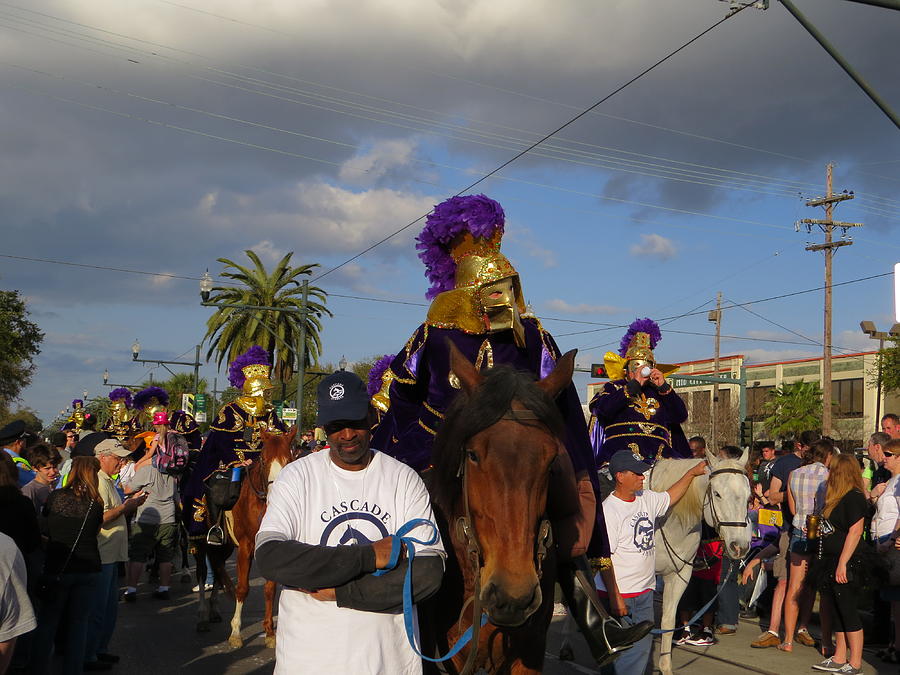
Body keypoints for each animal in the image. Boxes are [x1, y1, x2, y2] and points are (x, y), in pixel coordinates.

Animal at [648, 448, 752, 675]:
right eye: (717, 494)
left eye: (749, 498)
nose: (739, 546)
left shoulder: (678, 577)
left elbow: (668, 621)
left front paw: (665, 667)